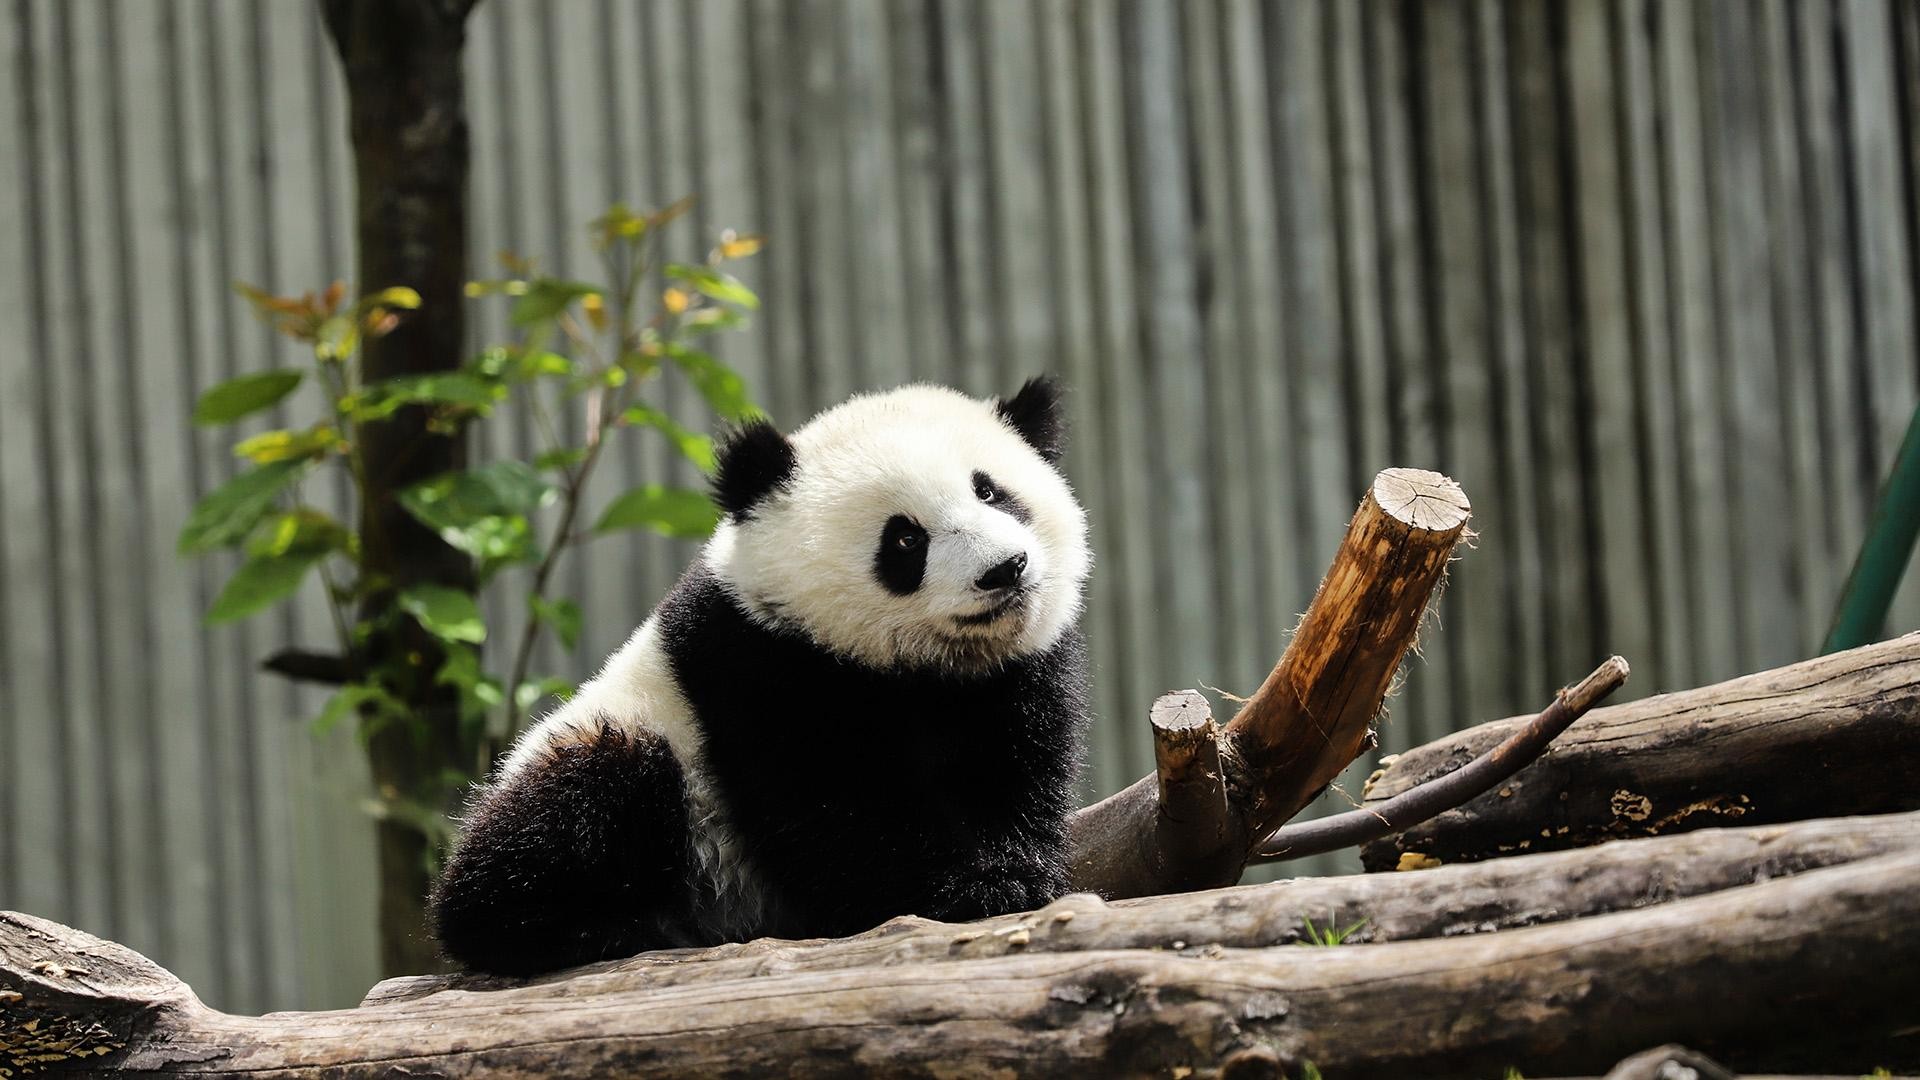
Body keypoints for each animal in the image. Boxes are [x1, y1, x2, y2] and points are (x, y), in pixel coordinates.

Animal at [430, 377, 1093, 976]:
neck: (918, 668)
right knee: (583, 799)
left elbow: (1011, 770)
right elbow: (827, 812)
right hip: (626, 752)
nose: (1004, 569)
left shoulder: (1010, 679)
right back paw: (589, 928)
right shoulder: (756, 666)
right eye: (905, 538)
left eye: (991, 492)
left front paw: (1017, 874)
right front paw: (962, 890)